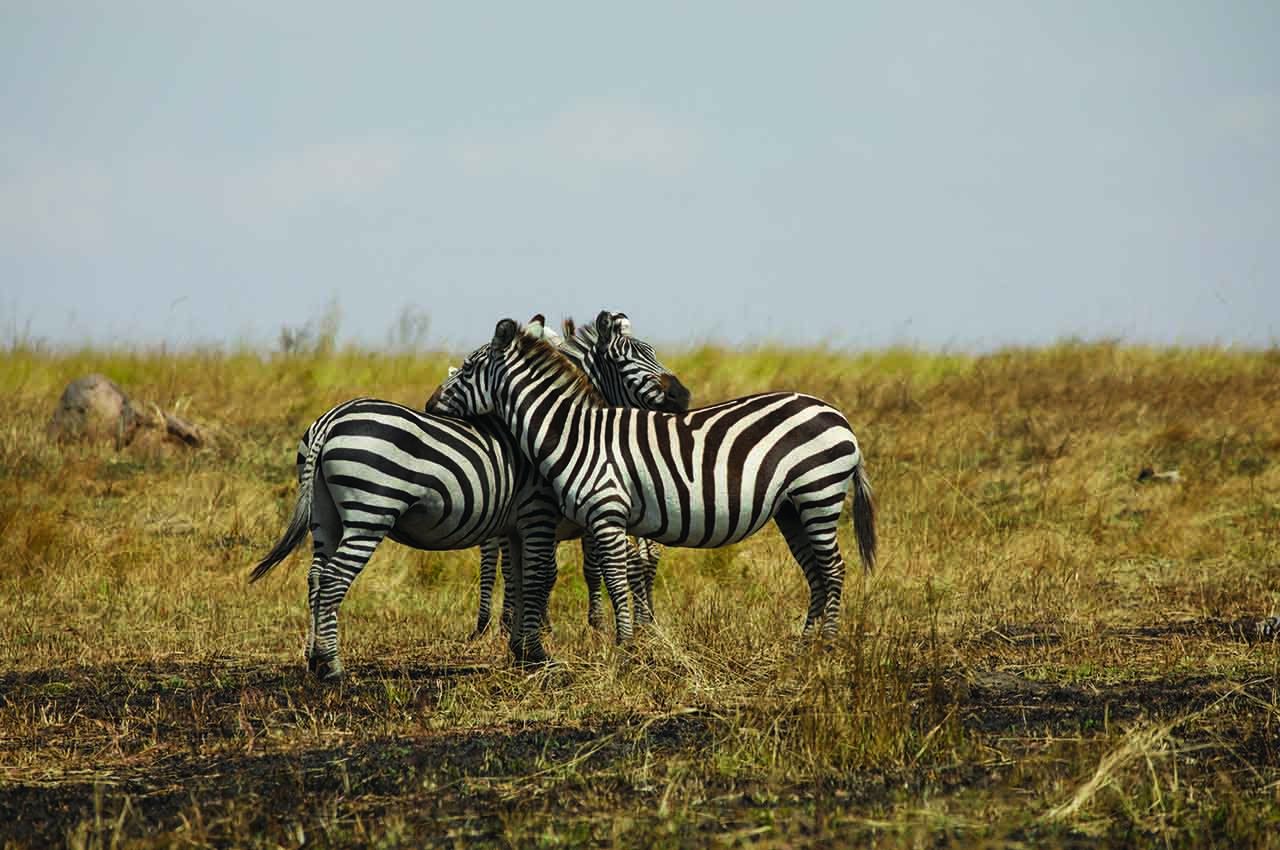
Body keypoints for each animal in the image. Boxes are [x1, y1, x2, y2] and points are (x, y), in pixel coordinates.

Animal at [252, 312, 691, 675]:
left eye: (653, 353)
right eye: (626, 360)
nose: (683, 397)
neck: (564, 426)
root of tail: (331, 419)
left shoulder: (521, 522)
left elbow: (526, 577)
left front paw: (524, 646)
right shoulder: (541, 512)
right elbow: (547, 575)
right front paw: (541, 650)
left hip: (325, 516)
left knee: (315, 575)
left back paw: (314, 657)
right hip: (369, 511)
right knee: (333, 578)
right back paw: (332, 666)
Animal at [424, 314, 875, 660]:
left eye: (467, 369)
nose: (429, 406)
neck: (574, 432)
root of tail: (835, 413)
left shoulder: (605, 513)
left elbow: (614, 575)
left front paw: (623, 644)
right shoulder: (608, 519)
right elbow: (614, 571)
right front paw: (629, 636)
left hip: (818, 494)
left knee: (833, 569)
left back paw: (828, 644)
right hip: (792, 508)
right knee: (815, 573)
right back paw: (804, 646)